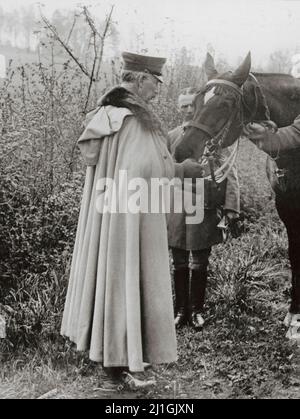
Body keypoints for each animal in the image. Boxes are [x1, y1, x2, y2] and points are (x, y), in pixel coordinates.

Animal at [175, 52, 300, 340]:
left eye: (226, 103)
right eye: (197, 101)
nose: (181, 151)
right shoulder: (286, 208)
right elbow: (294, 254)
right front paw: (293, 316)